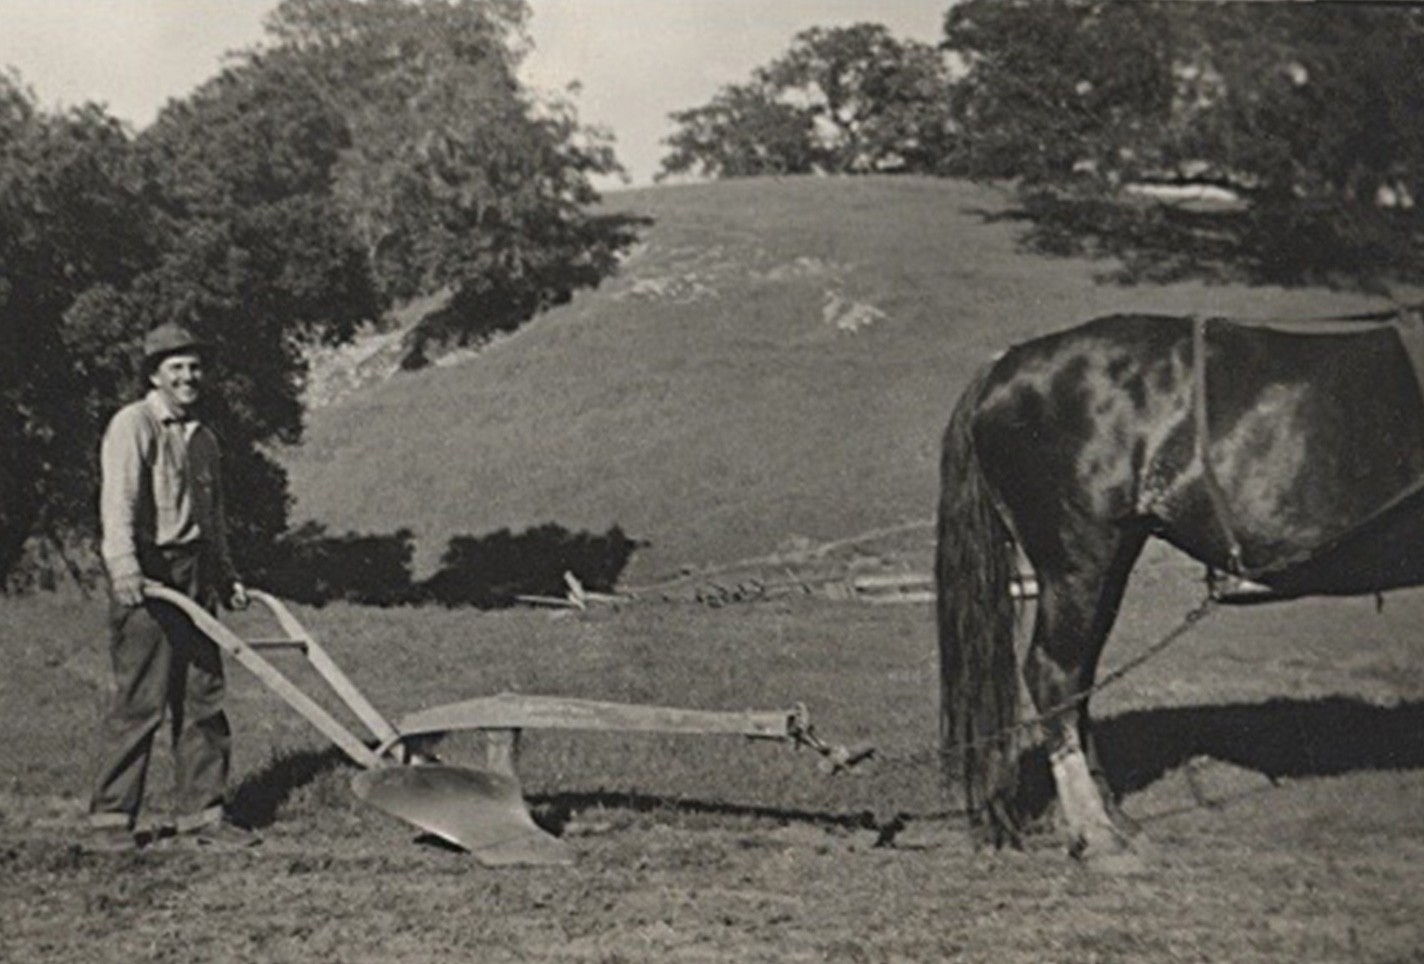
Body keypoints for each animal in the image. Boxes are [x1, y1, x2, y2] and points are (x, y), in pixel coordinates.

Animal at [936, 308, 1424, 866]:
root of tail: (1005, 364)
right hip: (1077, 561)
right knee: (1053, 674)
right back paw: (1095, 832)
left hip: (1112, 558)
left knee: (1081, 677)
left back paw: (1112, 817)